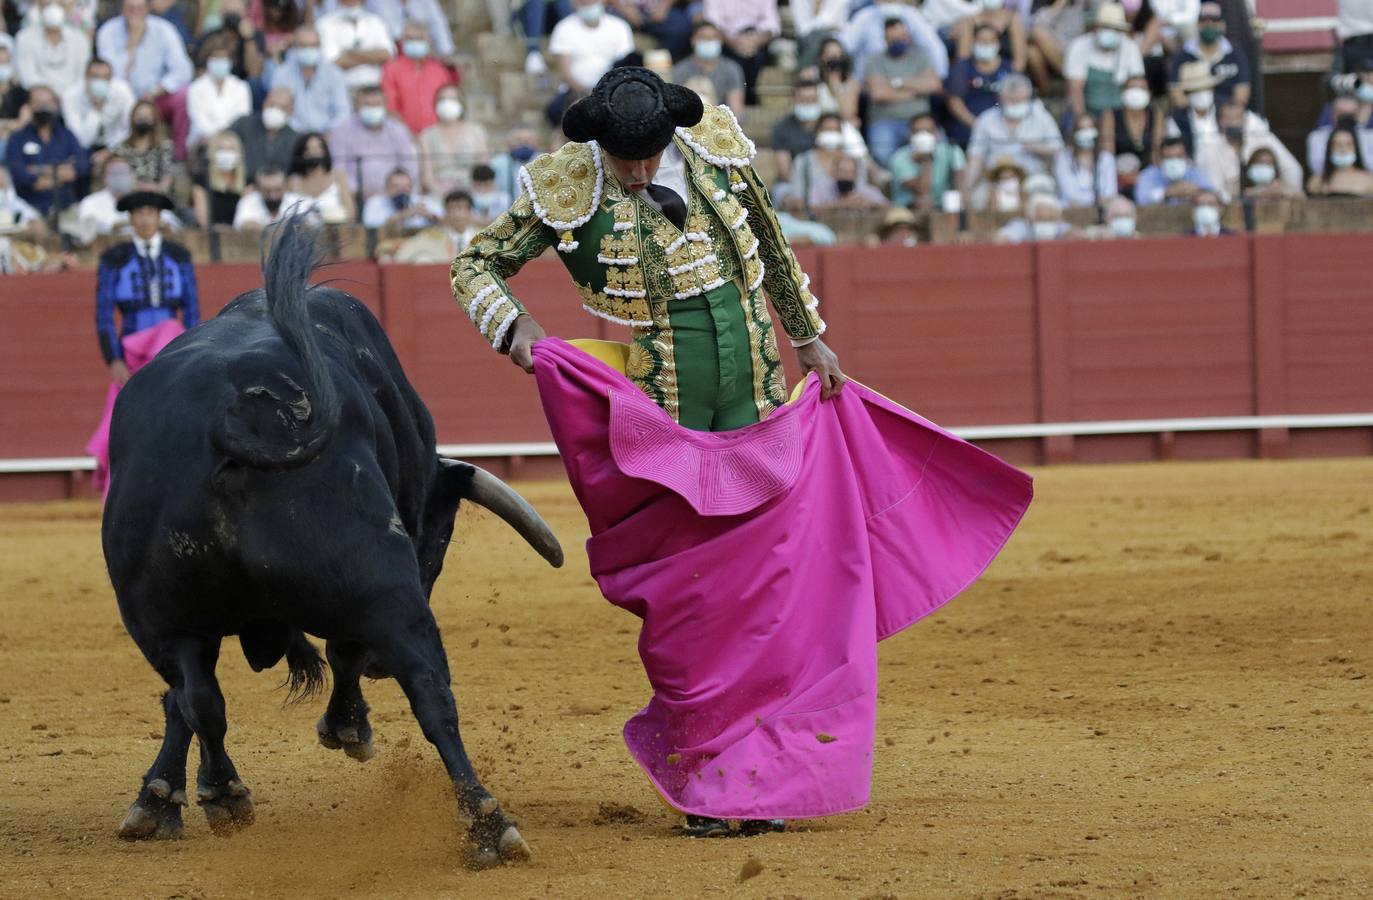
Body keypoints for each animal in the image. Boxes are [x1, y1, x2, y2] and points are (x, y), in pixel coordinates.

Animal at [101, 214, 562, 868]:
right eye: (442, 539)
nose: (377, 672)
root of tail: (235, 416)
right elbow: (343, 655)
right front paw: (346, 728)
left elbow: (183, 703)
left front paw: (159, 799)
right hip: (382, 590)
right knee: (425, 687)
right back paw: (485, 821)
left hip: (163, 615)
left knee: (199, 696)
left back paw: (225, 793)